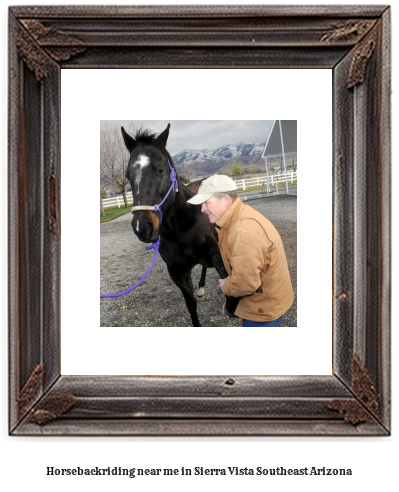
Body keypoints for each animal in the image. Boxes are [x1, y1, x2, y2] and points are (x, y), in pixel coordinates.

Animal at [122, 123, 239, 326]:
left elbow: (224, 271)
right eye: (128, 175)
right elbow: (190, 303)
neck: (179, 229)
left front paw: (233, 303)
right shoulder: (177, 271)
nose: (142, 227)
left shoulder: (213, 249)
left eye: (160, 169)